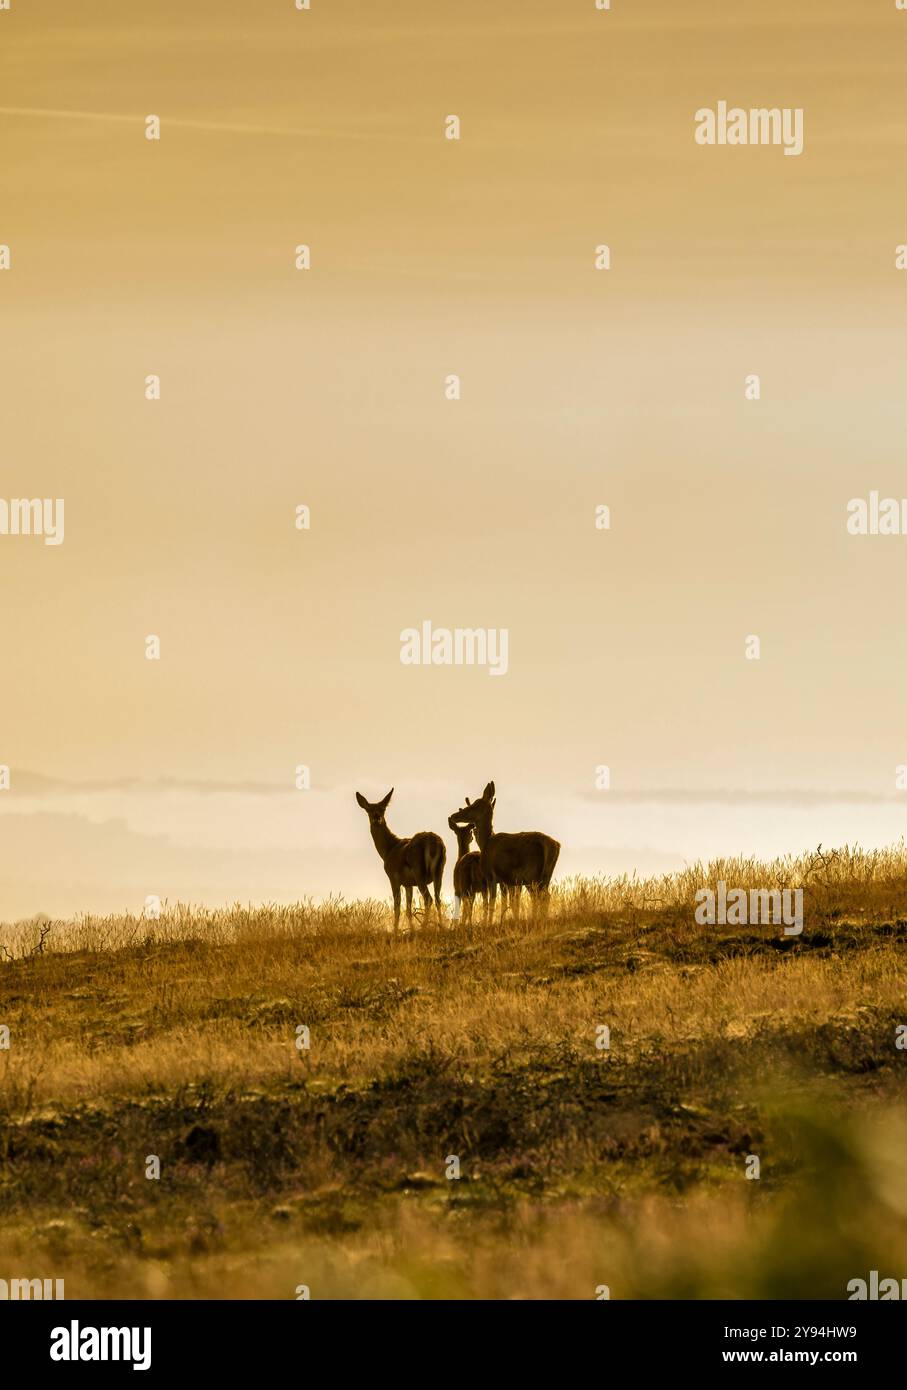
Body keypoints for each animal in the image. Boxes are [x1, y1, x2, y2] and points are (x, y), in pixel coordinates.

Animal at [355, 788, 446, 929]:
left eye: (383, 809)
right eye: (369, 810)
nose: (376, 818)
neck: (388, 850)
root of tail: (435, 843)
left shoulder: (393, 877)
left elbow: (397, 907)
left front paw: (396, 930)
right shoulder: (408, 883)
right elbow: (408, 910)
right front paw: (411, 929)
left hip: (419, 871)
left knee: (428, 899)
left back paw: (424, 927)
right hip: (439, 870)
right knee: (438, 899)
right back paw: (440, 926)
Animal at [448, 781, 559, 926]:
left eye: (474, 805)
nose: (453, 816)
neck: (486, 842)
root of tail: (555, 845)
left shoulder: (491, 876)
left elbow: (492, 903)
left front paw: (489, 923)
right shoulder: (506, 881)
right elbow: (505, 902)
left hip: (532, 874)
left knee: (539, 897)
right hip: (545, 876)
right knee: (545, 896)